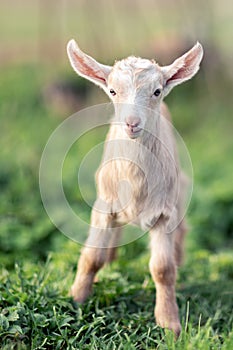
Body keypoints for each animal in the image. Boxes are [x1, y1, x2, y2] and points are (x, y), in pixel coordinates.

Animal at [66, 40, 203, 336]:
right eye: (112, 90)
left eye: (157, 91)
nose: (132, 123)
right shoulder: (103, 204)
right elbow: (91, 257)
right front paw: (76, 298)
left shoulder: (165, 212)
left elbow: (162, 269)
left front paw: (169, 323)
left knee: (181, 234)